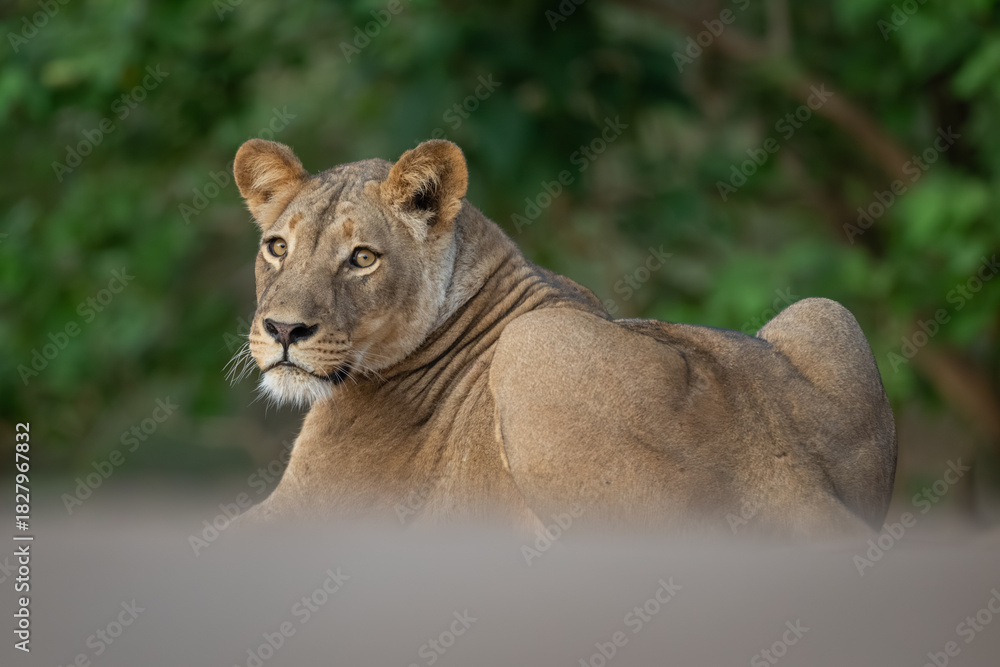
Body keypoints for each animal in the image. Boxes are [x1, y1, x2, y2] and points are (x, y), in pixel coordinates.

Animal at [229, 137, 896, 538]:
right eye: (277, 247)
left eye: (363, 258)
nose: (283, 329)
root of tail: (793, 484)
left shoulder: (316, 510)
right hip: (826, 315)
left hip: (536, 347)